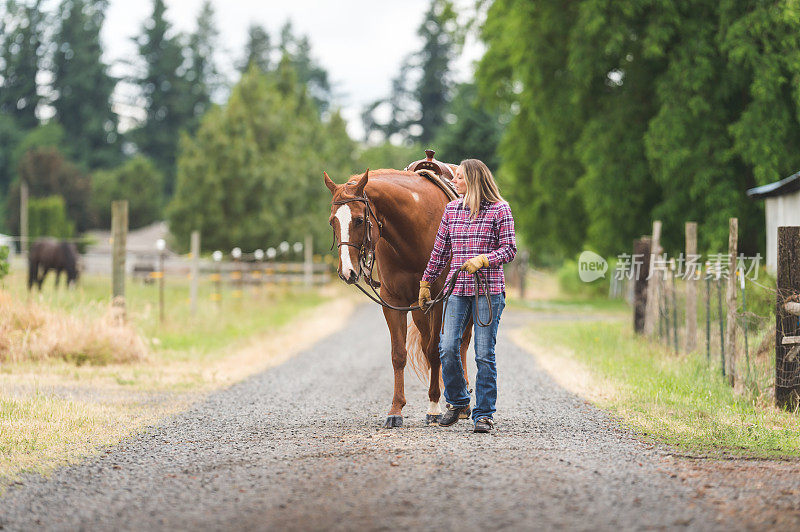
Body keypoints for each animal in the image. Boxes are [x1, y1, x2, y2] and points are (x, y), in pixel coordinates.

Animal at [324, 170, 472, 428]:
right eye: (333, 221)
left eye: (359, 220)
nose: (346, 272)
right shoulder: (394, 303)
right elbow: (398, 355)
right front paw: (395, 410)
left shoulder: (437, 301)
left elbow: (435, 351)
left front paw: (433, 408)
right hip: (418, 309)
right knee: (427, 344)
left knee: (461, 344)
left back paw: (461, 405)